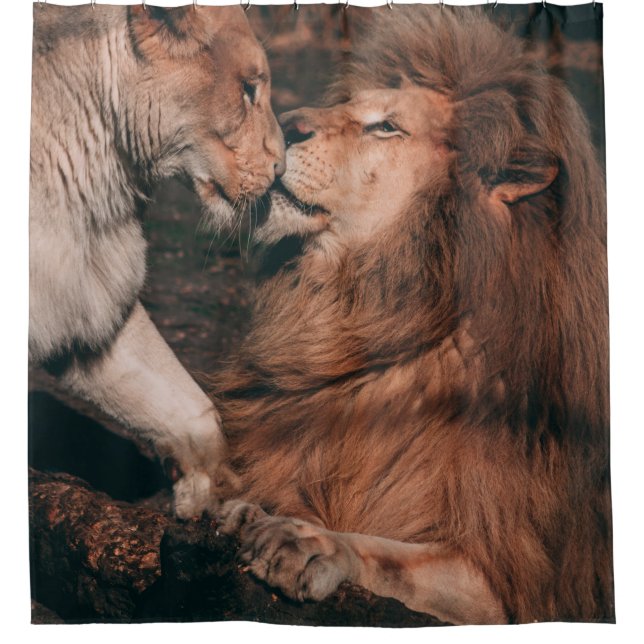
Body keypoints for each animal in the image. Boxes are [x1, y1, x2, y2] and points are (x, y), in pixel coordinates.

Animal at [212, 8, 613, 625]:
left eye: (386, 128)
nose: (284, 124)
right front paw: (246, 511)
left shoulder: (510, 583)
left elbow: (391, 554)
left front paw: (305, 541)